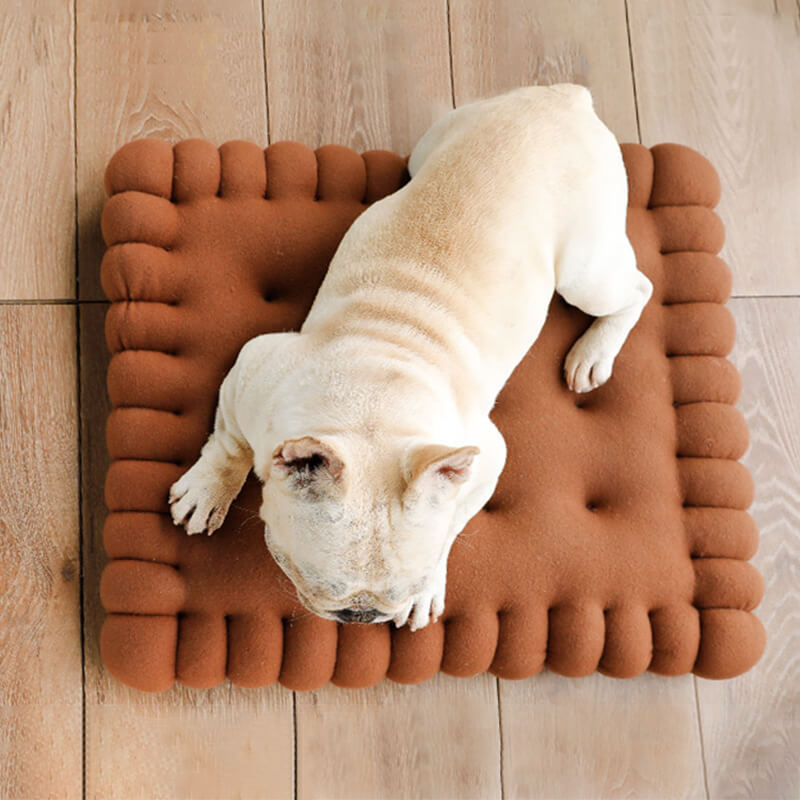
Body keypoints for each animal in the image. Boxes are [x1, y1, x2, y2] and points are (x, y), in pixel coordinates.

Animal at [167, 86, 648, 632]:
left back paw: (595, 352)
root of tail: (560, 98)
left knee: (636, 289)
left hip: (585, 273)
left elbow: (452, 520)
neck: (371, 404)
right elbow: (230, 445)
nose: (362, 615)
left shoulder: (485, 460)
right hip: (437, 144)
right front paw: (208, 491)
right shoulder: (252, 371)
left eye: (408, 587)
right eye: (306, 578)